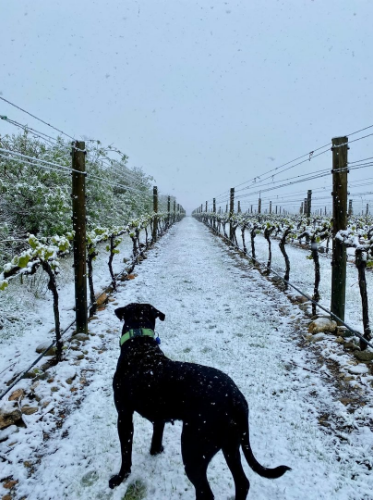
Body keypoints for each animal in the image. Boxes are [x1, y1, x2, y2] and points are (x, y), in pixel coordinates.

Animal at [108, 302, 290, 498]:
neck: (140, 345)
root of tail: (236, 399)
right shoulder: (159, 417)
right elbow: (157, 435)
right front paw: (155, 451)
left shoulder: (124, 415)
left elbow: (126, 452)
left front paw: (120, 478)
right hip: (230, 444)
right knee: (242, 482)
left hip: (194, 450)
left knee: (205, 491)